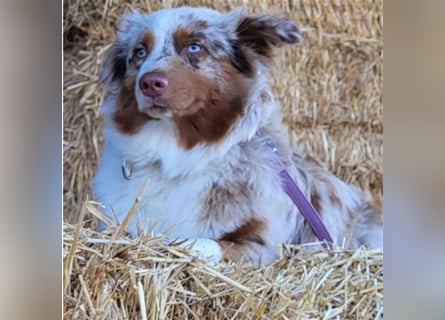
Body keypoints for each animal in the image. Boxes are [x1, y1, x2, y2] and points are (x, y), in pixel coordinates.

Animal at [93, 6, 382, 264]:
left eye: (194, 47)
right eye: (140, 52)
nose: (150, 83)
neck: (173, 155)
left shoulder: (264, 245)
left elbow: (197, 243)